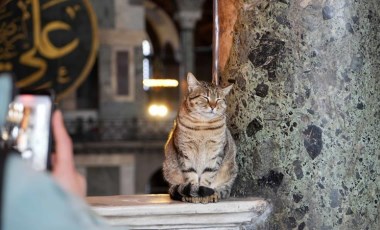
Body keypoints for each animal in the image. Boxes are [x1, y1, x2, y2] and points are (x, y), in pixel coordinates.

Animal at [163, 72, 238, 203]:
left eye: (218, 99)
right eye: (205, 97)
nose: (213, 106)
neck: (203, 125)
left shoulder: (216, 151)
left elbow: (208, 175)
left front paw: (205, 192)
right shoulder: (185, 150)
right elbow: (190, 174)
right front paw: (194, 191)